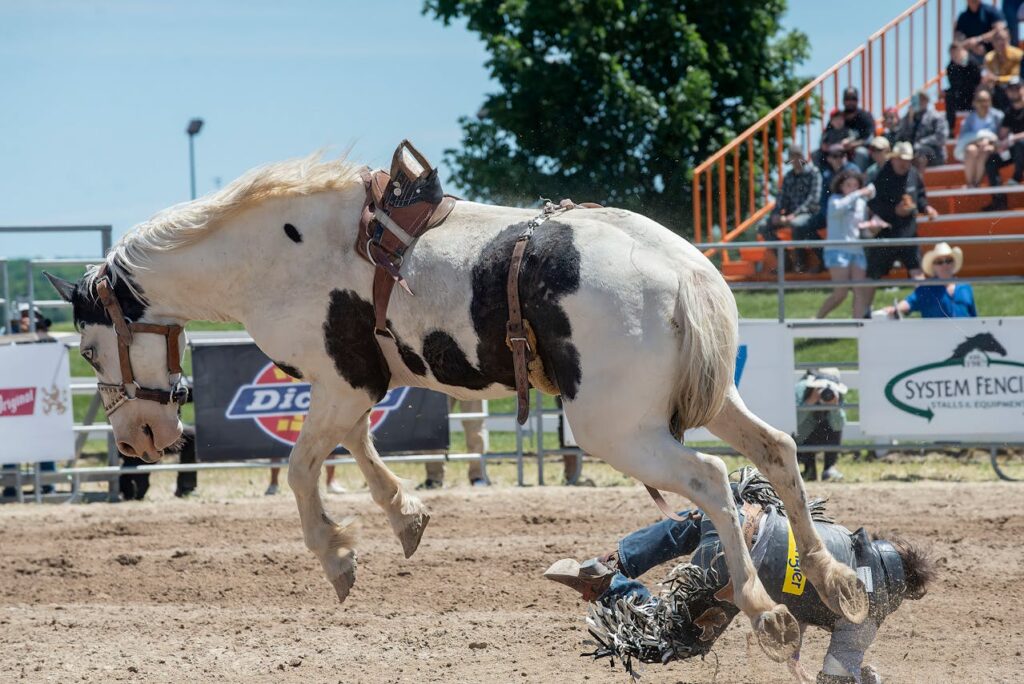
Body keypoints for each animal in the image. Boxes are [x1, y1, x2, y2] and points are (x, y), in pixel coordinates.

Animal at [45, 153, 867, 663]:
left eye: (88, 348)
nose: (141, 438)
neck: (280, 251)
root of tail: (684, 271)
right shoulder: (357, 383)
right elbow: (358, 448)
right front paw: (405, 516)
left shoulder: (341, 378)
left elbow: (307, 467)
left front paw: (338, 557)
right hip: (712, 399)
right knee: (778, 453)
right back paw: (834, 579)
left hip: (618, 428)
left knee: (712, 482)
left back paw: (765, 609)